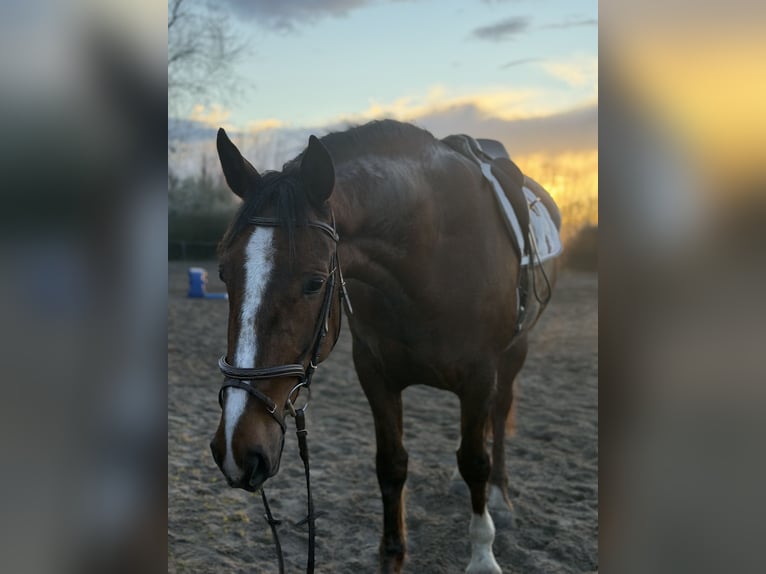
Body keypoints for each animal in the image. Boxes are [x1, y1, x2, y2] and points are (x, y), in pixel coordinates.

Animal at [209, 119, 560, 573]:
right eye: (223, 273)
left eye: (315, 283)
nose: (238, 450)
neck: (431, 253)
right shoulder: (375, 373)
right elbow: (391, 465)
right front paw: (392, 555)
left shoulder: (480, 374)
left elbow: (475, 462)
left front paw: (483, 555)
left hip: (515, 351)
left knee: (498, 417)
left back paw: (499, 497)